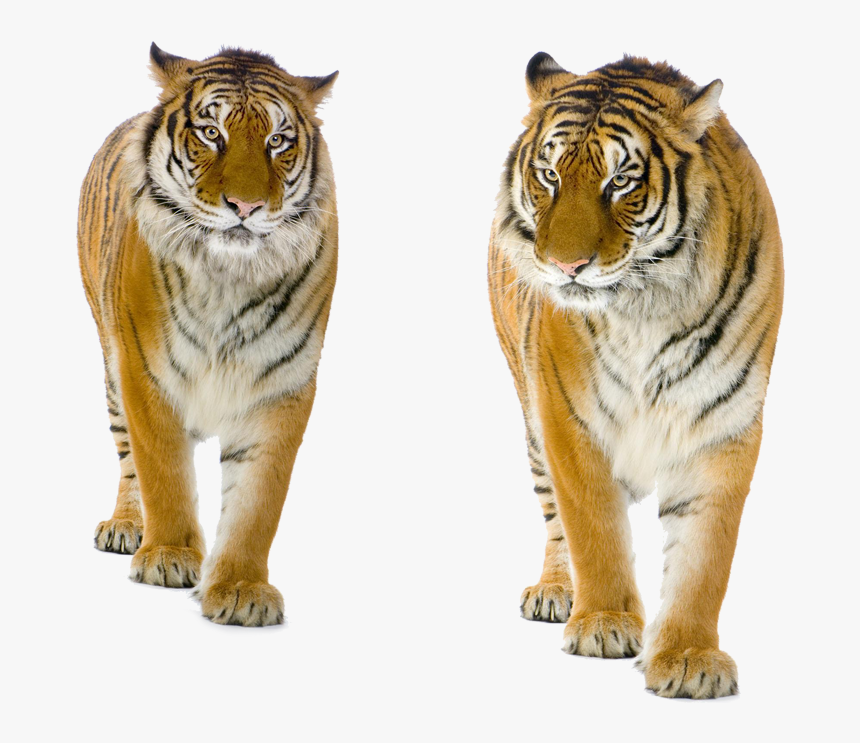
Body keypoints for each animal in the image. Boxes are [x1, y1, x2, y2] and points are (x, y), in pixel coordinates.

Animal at [77, 44, 338, 627]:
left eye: (277, 141)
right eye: (211, 133)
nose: (245, 207)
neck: (228, 276)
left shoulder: (282, 386)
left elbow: (258, 502)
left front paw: (241, 588)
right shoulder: (146, 372)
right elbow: (163, 472)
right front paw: (169, 556)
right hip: (109, 362)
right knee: (127, 457)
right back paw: (127, 527)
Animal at [488, 53, 783, 697]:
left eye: (620, 181)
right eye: (549, 175)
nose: (566, 266)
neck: (646, 306)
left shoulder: (723, 422)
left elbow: (705, 557)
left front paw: (690, 656)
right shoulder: (567, 416)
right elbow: (593, 527)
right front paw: (603, 623)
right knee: (554, 516)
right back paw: (555, 592)